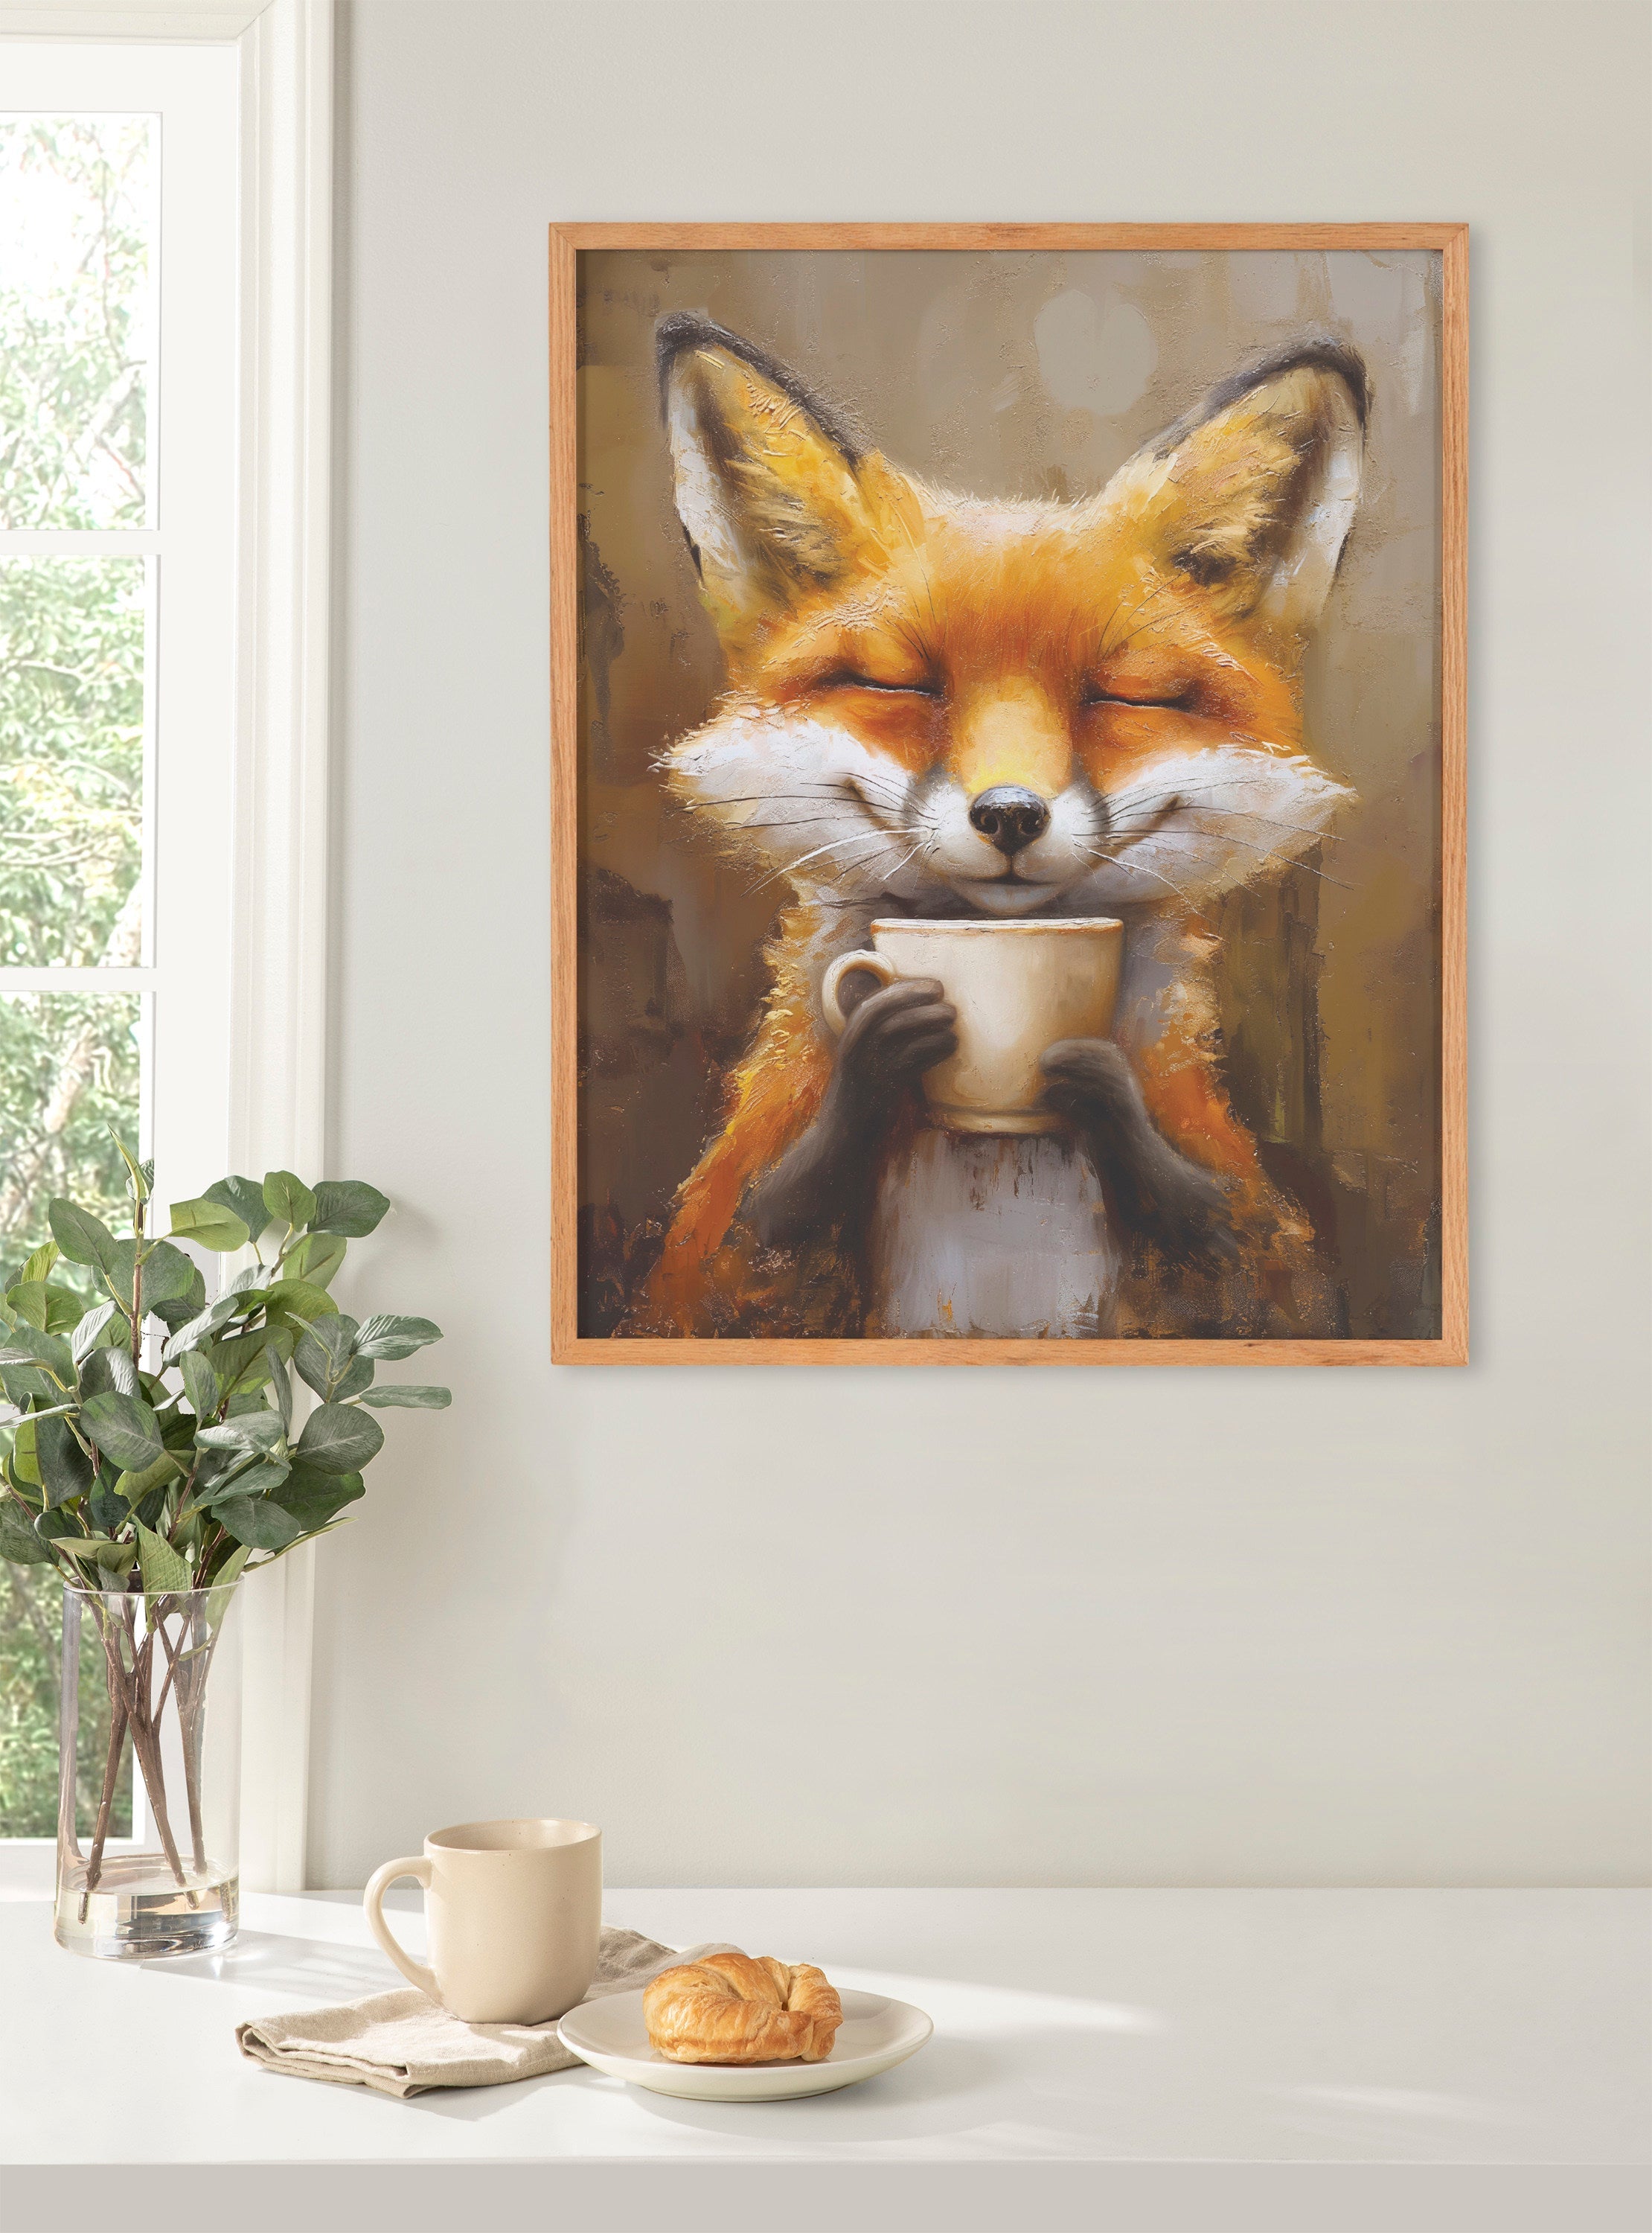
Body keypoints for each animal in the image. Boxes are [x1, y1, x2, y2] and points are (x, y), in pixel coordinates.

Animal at [626, 312, 1367, 1340]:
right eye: (902, 685)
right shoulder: (706, 1276)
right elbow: (750, 1253)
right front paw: (874, 1062)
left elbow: (1240, 1264)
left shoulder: (1265, 1275)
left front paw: (1102, 1089)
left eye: (1123, 695)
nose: (1009, 814)